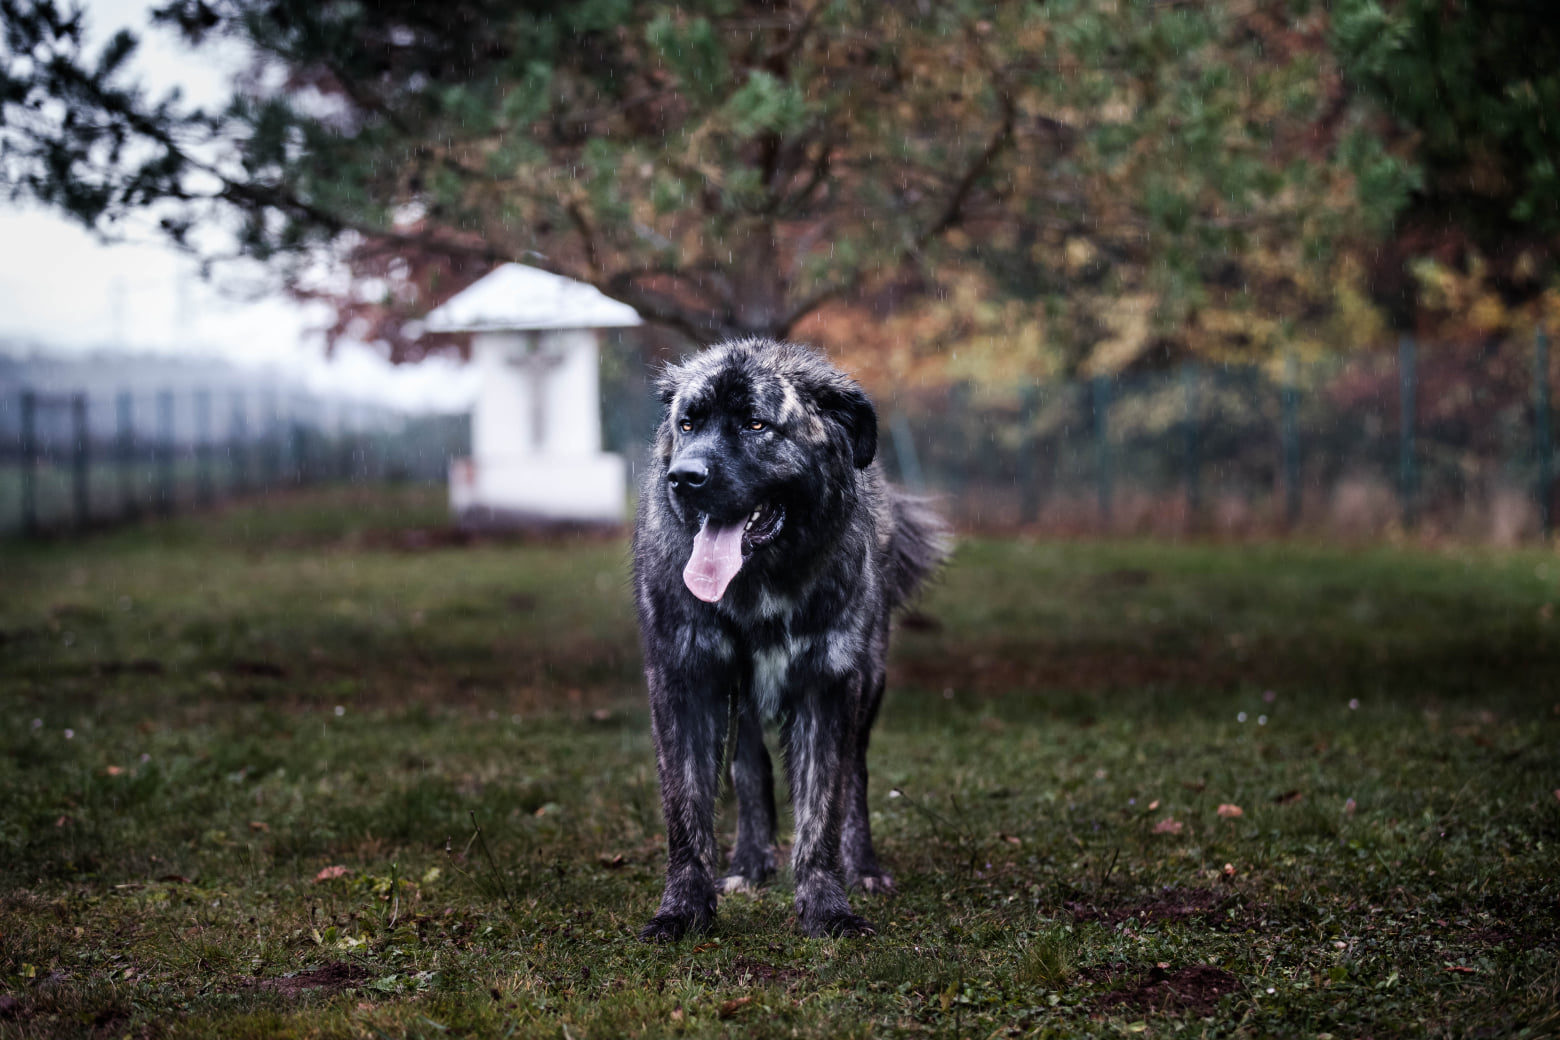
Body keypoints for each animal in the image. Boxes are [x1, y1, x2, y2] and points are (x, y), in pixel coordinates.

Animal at [627, 338, 942, 941]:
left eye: (755, 424)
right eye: (687, 424)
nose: (684, 477)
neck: (757, 589)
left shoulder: (828, 688)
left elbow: (823, 808)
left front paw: (826, 906)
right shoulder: (683, 683)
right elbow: (687, 812)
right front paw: (683, 909)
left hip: (868, 682)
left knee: (855, 776)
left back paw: (863, 866)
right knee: (750, 771)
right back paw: (749, 864)